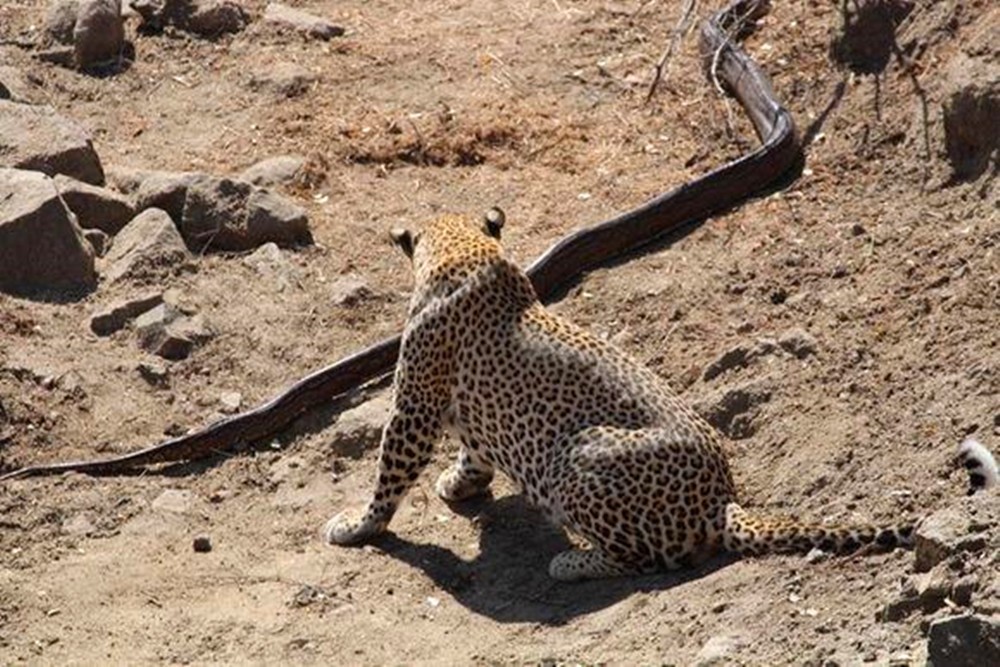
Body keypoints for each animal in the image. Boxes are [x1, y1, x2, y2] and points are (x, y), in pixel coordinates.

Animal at [324, 209, 996, 580]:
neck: (468, 246)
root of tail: (723, 503)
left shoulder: (414, 404)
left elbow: (389, 471)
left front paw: (357, 525)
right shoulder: (461, 405)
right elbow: (471, 448)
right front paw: (459, 484)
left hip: (579, 457)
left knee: (641, 560)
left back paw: (570, 563)